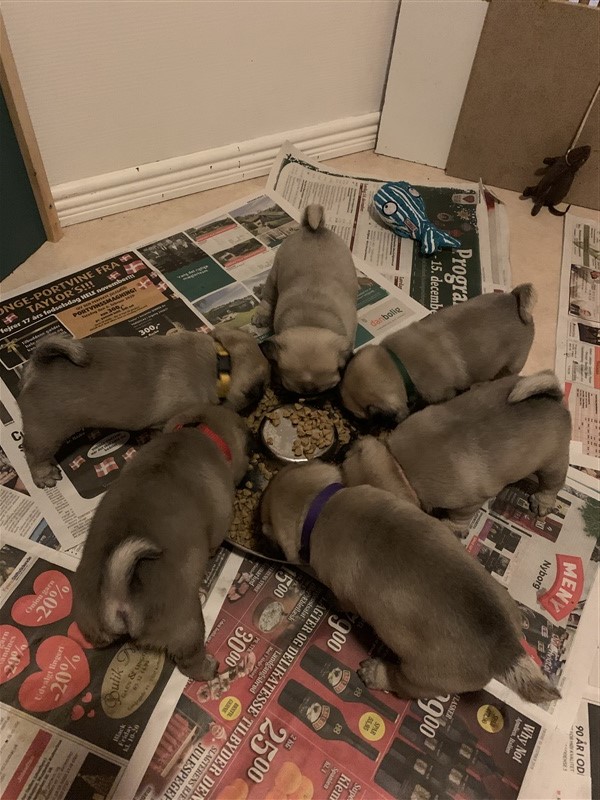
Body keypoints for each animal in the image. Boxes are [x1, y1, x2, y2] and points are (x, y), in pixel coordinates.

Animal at [72, 405, 248, 679]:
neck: (203, 433)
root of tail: (117, 595)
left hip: (91, 623)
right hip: (188, 625)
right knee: (189, 663)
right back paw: (209, 668)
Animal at [252, 204, 358, 394]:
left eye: (323, 390)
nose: (309, 397)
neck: (311, 321)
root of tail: (313, 228)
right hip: (274, 274)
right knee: (268, 297)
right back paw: (262, 315)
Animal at [260, 460, 560, 703]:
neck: (320, 505)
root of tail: (503, 651)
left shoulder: (343, 591)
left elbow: (342, 600)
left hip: (420, 676)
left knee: (402, 686)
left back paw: (376, 672)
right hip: (502, 596)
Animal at [340, 284, 536, 423]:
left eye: (367, 418)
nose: (355, 425)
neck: (396, 363)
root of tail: (513, 298)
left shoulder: (442, 394)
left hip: (513, 364)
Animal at [342, 371, 571, 534]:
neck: (399, 468)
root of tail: (554, 399)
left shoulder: (467, 504)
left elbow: (459, 517)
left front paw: (452, 527)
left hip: (553, 463)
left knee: (552, 484)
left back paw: (543, 501)